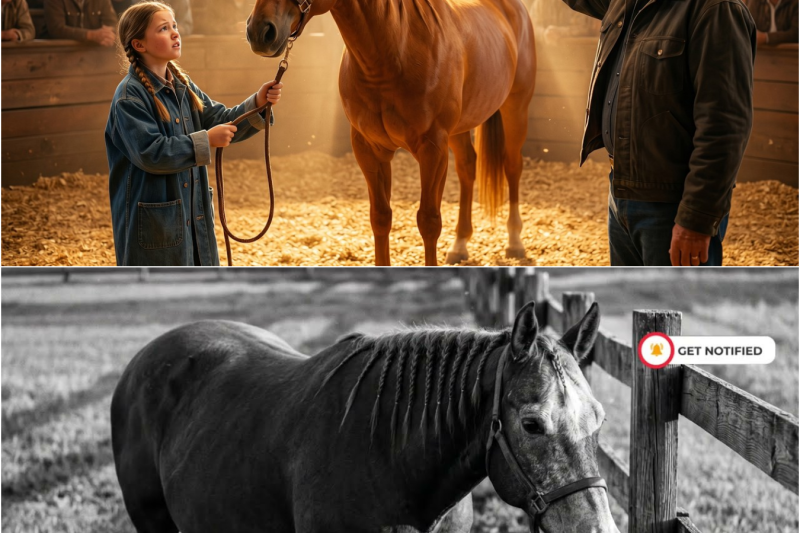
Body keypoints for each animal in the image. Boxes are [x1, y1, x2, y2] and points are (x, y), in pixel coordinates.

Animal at [245, 0, 537, 266]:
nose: (259, 31)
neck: (396, 51)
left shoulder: (433, 150)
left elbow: (429, 221)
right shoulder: (369, 149)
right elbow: (380, 217)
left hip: (516, 108)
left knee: (512, 166)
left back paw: (515, 242)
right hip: (460, 129)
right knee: (467, 166)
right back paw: (460, 245)